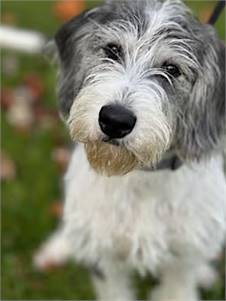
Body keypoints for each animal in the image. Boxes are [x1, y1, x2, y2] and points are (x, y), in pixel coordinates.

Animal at [34, 1, 226, 298]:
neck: (143, 175)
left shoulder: (184, 259)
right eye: (112, 50)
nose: (115, 120)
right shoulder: (104, 259)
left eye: (172, 69)